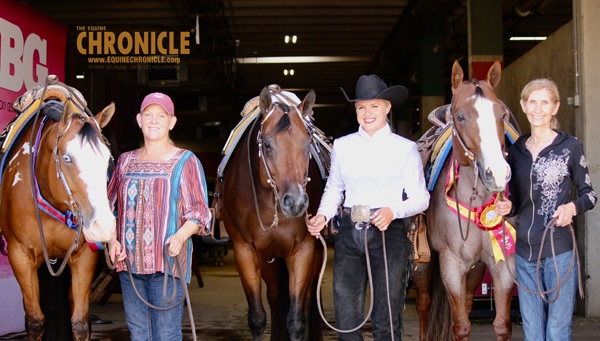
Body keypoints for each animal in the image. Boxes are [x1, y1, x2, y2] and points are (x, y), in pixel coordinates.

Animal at [0, 80, 116, 340]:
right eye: (67, 158)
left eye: (108, 160)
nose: (103, 226)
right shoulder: (19, 255)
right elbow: (34, 321)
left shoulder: (84, 256)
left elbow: (80, 323)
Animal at [219, 85, 324, 340]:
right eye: (266, 144)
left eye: (307, 143)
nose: (295, 202)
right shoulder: (245, 251)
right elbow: (257, 318)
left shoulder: (304, 249)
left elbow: (296, 319)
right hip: (269, 260)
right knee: (275, 297)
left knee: (307, 299)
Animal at [412, 61, 516, 340]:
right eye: (460, 116)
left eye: (502, 115)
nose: (497, 173)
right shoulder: (451, 263)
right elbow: (460, 325)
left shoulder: (502, 261)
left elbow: (502, 324)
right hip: (423, 261)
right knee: (423, 304)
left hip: (476, 268)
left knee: (468, 301)